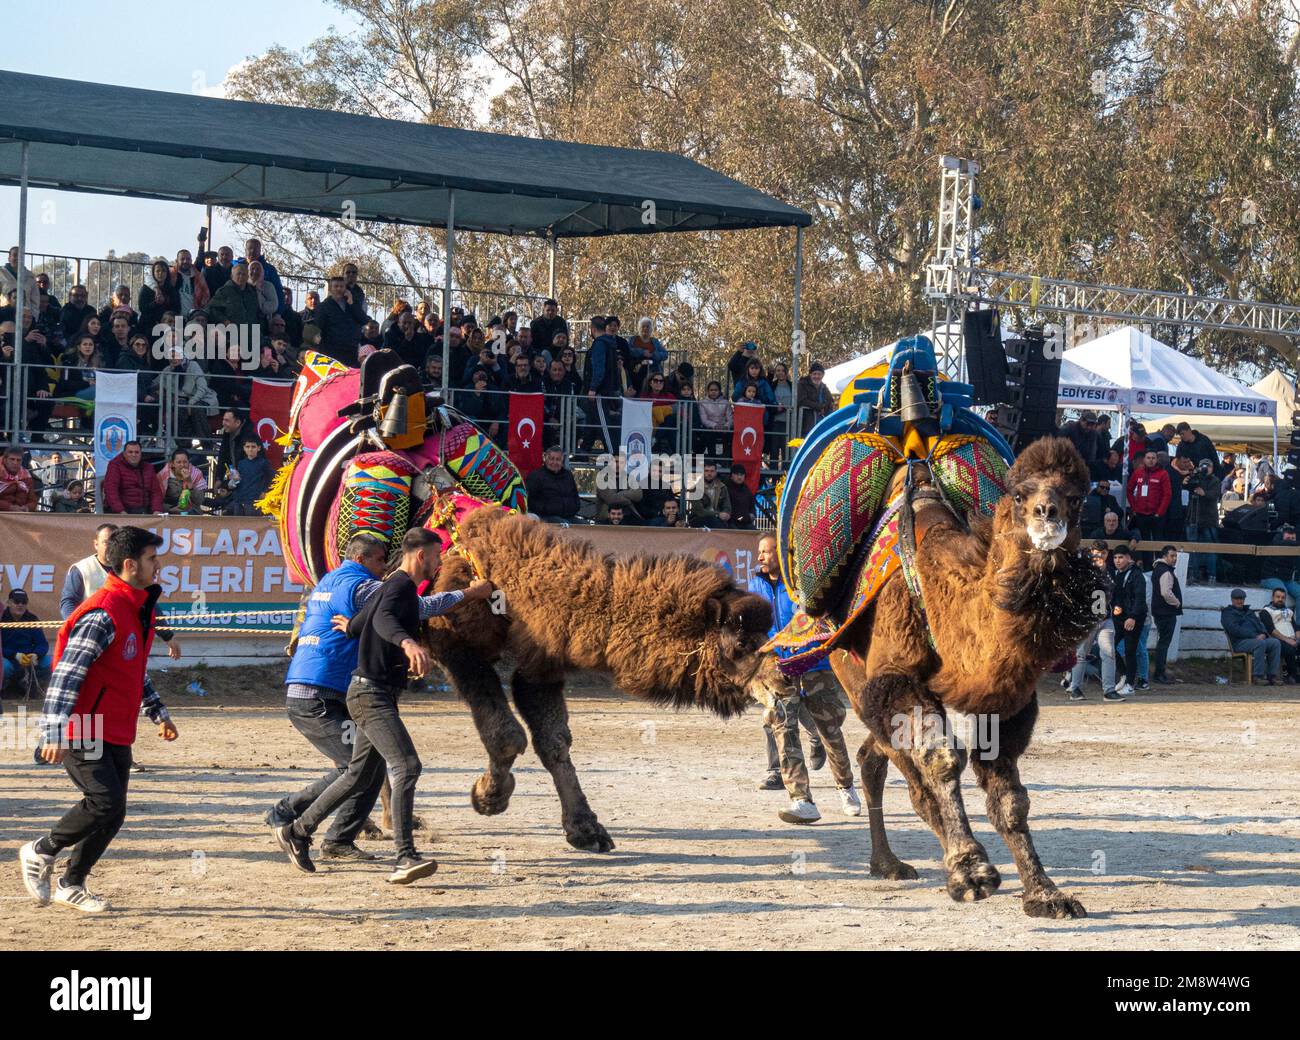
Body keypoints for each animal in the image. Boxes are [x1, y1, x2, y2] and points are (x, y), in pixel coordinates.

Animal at [410, 506, 764, 852]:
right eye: (741, 643)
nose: (774, 680)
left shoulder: (540, 668)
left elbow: (554, 743)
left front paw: (586, 831)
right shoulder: (456, 648)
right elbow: (509, 736)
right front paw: (489, 798)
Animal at [826, 436, 1102, 920]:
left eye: (1077, 498)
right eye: (1018, 494)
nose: (1048, 513)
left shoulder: (1008, 702)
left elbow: (1011, 797)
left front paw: (1045, 893)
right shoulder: (895, 678)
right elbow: (940, 760)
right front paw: (972, 872)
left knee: (874, 756)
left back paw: (889, 862)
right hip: (853, 676)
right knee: (905, 773)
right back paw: (924, 862)